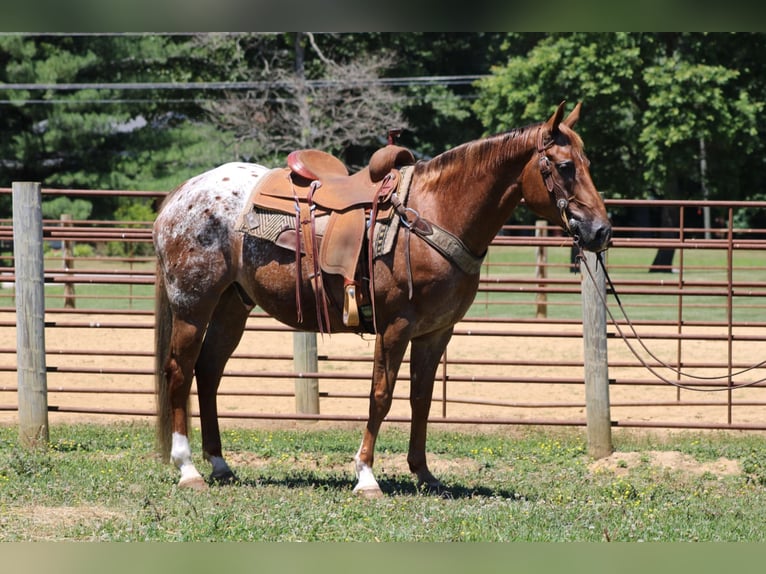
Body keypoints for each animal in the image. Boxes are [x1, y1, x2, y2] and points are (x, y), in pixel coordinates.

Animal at [154, 101, 612, 498]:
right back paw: (188, 468)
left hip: (232, 306)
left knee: (208, 372)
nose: (602, 231)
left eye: (589, 164)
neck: (436, 211)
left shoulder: (436, 332)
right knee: (179, 372)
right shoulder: (395, 326)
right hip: (193, 304)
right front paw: (367, 475)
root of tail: (181, 194)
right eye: (566, 167)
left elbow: (420, 399)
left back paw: (219, 465)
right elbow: (381, 394)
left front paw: (424, 473)